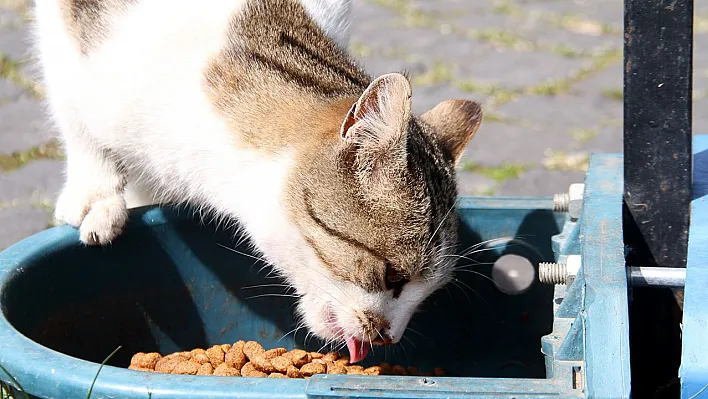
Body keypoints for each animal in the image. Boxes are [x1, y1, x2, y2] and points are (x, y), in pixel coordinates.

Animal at [31, 0, 486, 364]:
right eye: (393, 277)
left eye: (429, 292)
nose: (391, 337)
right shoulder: (70, 24)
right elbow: (72, 108)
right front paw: (96, 194)